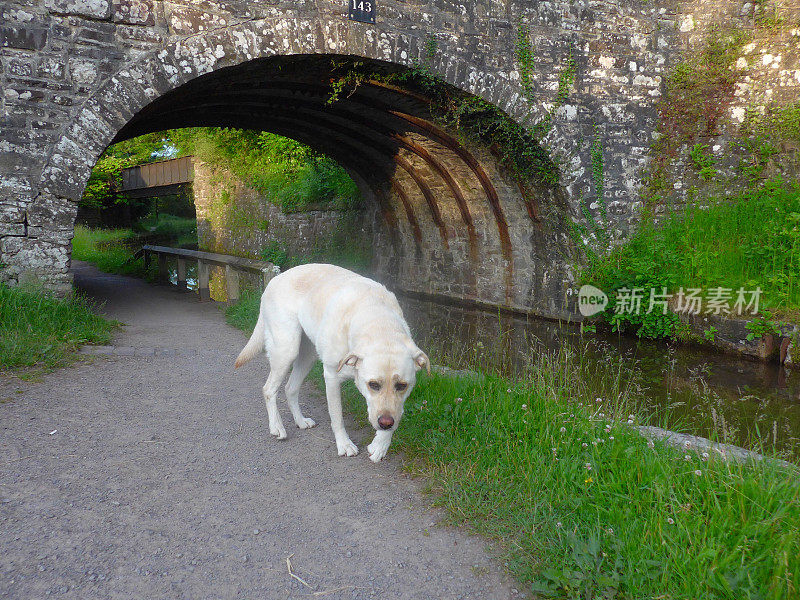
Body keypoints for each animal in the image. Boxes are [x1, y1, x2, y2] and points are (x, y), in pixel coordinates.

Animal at [234, 264, 428, 464]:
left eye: (402, 386)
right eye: (373, 384)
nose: (385, 424)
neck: (379, 324)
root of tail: (275, 278)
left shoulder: (397, 403)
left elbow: (396, 412)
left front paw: (380, 445)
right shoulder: (332, 378)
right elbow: (337, 417)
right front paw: (344, 444)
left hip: (307, 356)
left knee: (290, 388)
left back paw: (300, 421)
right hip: (286, 351)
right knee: (269, 389)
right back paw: (276, 427)